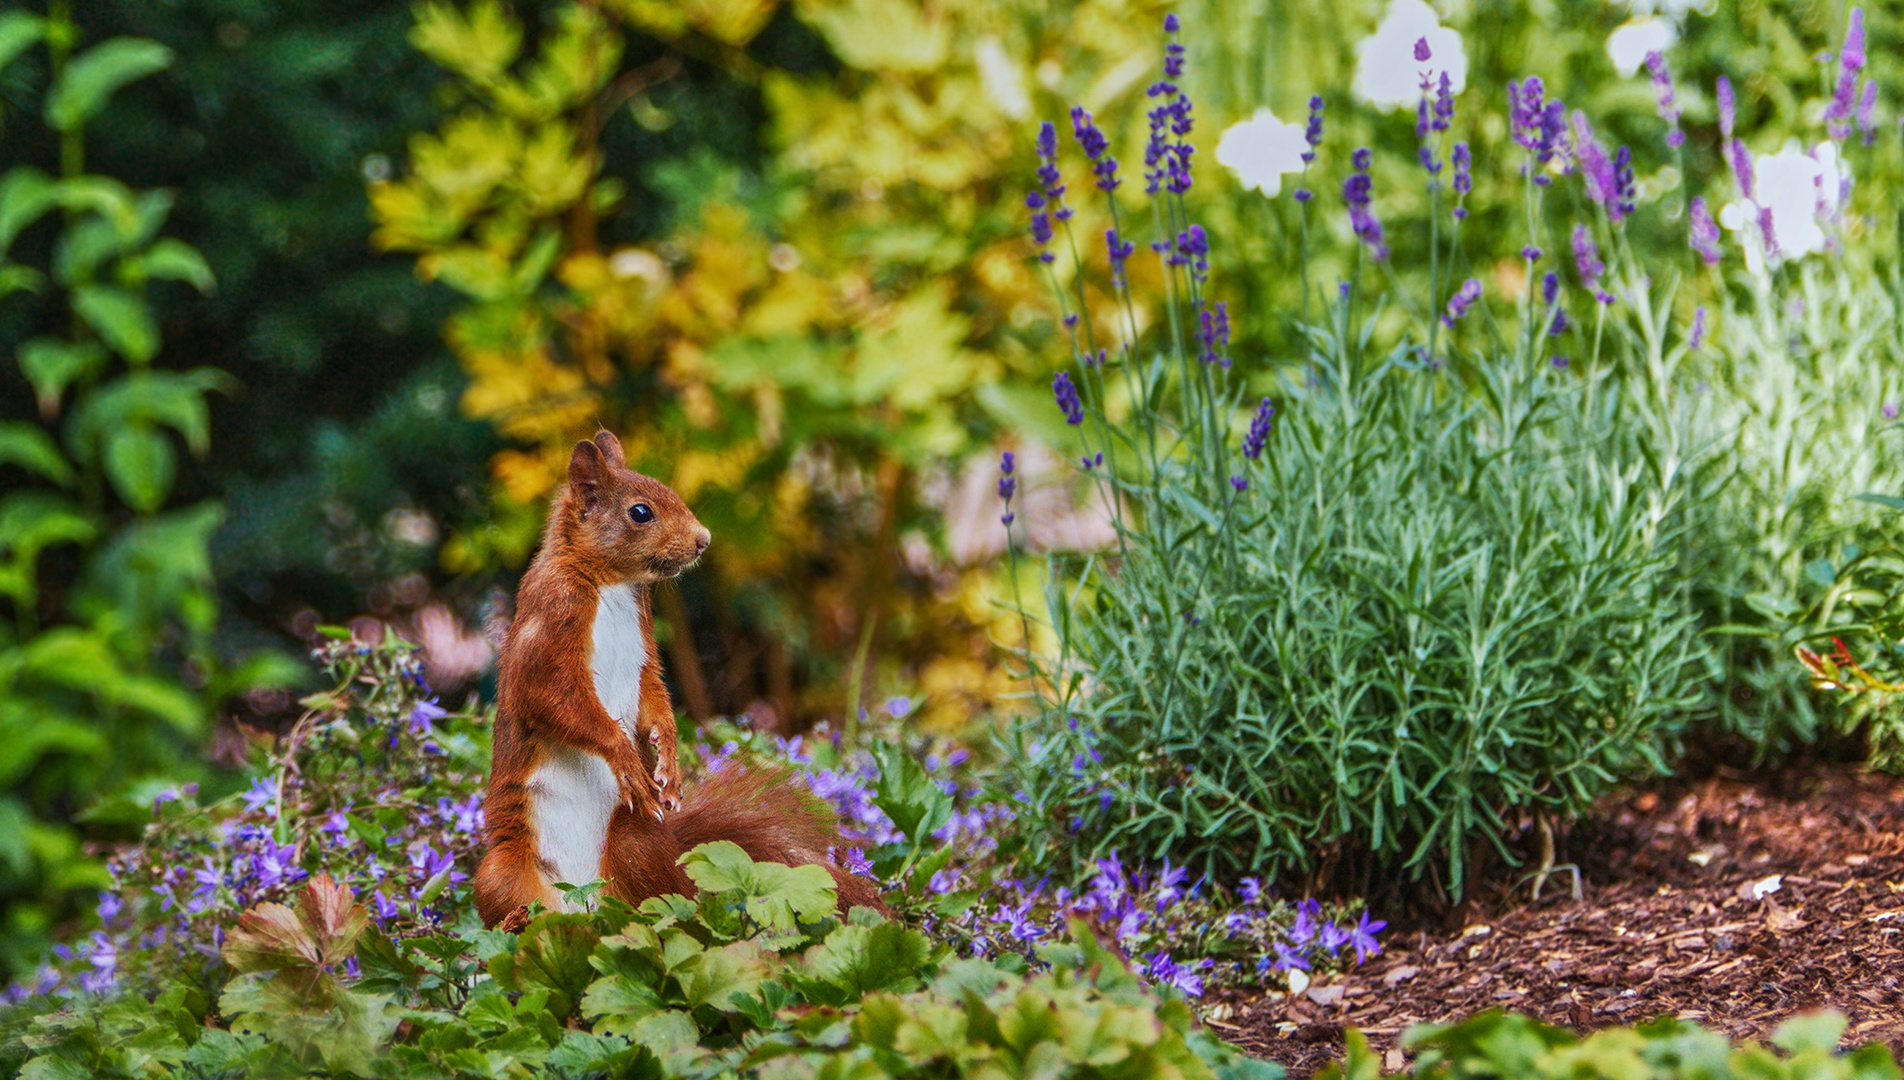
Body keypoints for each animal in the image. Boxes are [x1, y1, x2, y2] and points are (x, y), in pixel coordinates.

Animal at [479, 436, 887, 925]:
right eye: (640, 512)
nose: (703, 540)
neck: (611, 583)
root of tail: (580, 902)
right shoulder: (550, 621)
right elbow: (551, 697)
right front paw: (626, 756)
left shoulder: (645, 645)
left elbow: (654, 694)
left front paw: (668, 760)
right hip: (502, 873)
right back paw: (517, 921)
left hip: (636, 845)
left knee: (652, 906)